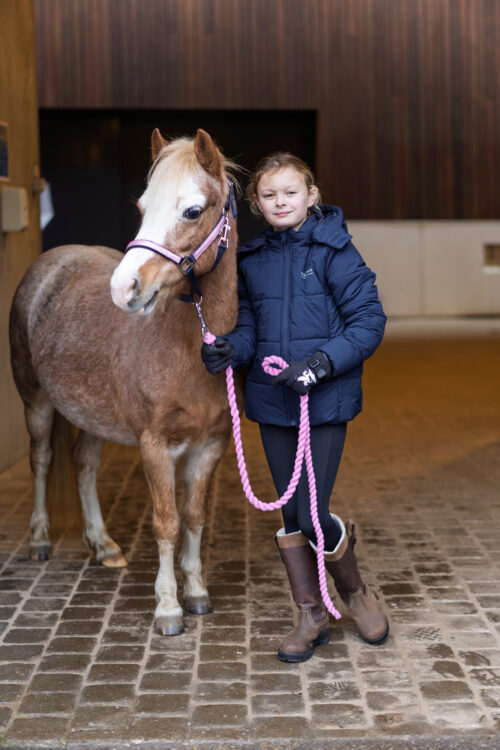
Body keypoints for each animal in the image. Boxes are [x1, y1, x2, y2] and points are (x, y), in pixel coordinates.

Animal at [9, 129, 239, 635]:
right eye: (142, 206)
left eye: (192, 211)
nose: (123, 288)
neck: (187, 346)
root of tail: (51, 260)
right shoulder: (154, 445)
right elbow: (166, 522)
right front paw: (168, 607)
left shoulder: (210, 444)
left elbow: (194, 516)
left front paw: (196, 591)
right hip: (35, 403)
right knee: (41, 459)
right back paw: (39, 539)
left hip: (92, 415)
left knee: (83, 464)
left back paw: (103, 545)